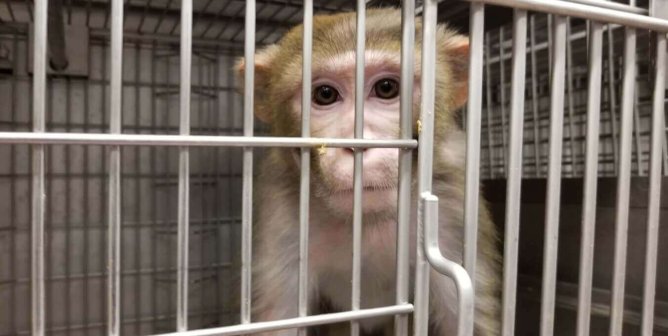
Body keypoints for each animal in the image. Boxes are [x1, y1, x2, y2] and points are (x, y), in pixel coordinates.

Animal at [236, 7, 500, 336]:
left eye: (386, 88)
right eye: (325, 94)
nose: (358, 146)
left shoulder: (453, 205)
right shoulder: (281, 213)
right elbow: (280, 318)